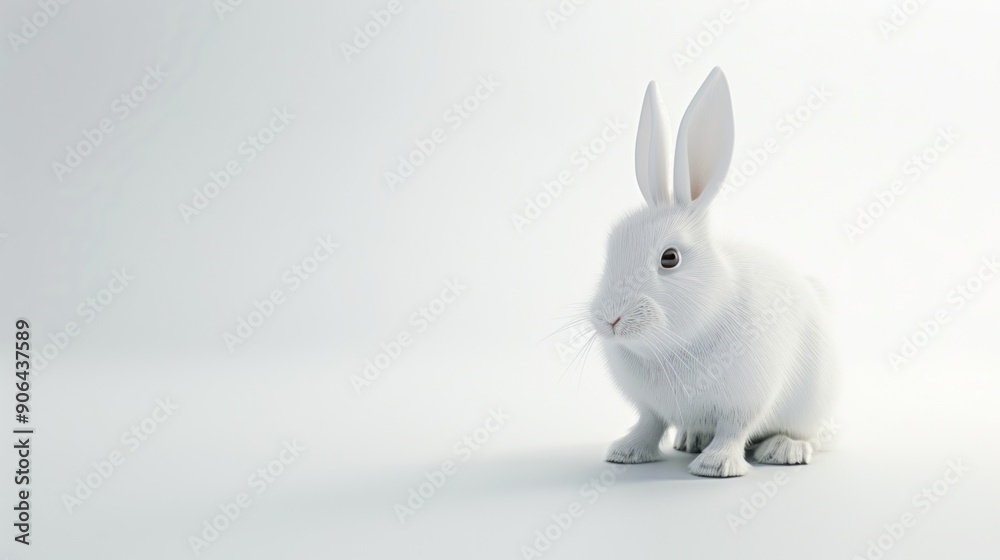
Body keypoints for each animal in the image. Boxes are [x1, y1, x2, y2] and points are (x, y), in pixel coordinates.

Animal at [589, 67, 839, 477]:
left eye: (669, 258)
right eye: (611, 246)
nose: (609, 318)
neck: (674, 346)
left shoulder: (746, 400)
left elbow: (734, 429)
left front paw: (717, 465)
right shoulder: (649, 407)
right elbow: (648, 424)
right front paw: (625, 452)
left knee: (806, 435)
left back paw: (782, 449)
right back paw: (691, 438)